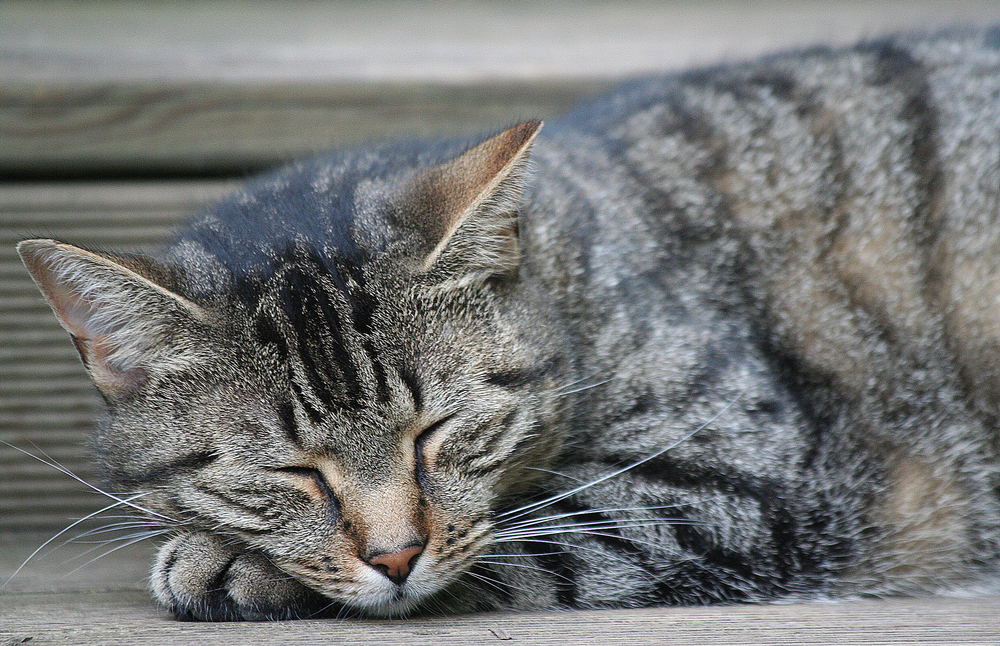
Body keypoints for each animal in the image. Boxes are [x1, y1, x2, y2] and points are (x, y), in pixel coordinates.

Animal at [15, 26, 1000, 624]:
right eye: (291, 472)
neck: (573, 279)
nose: (395, 555)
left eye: (438, 431)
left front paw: (233, 566)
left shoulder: (735, 464)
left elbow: (544, 527)